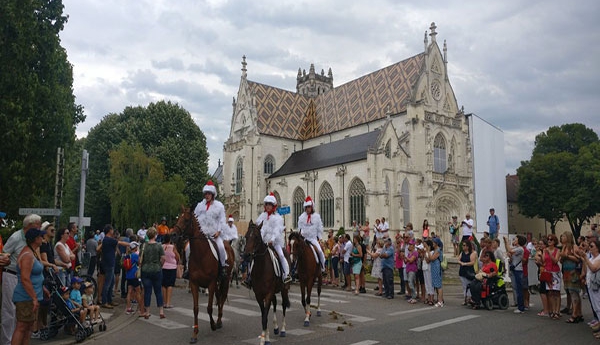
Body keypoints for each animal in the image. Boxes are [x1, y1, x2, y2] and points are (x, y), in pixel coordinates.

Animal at [172, 206, 236, 342]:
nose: (173, 235)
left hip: (225, 280)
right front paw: (195, 334)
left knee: (222, 298)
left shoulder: (211, 284)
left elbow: (209, 307)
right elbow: (196, 309)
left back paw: (219, 321)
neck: (200, 254)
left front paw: (212, 325)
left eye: (186, 220)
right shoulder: (194, 284)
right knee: (219, 297)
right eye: (178, 218)